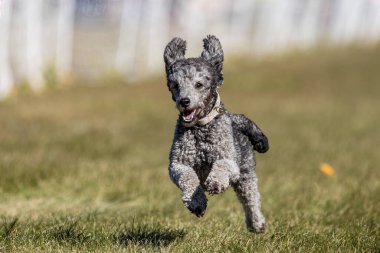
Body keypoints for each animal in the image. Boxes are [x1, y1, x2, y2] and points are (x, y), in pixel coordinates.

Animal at [165, 34, 268, 232]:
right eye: (175, 85)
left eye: (199, 84)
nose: (184, 101)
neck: (200, 128)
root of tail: (236, 119)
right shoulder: (178, 164)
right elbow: (188, 177)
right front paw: (196, 202)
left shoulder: (229, 160)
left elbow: (222, 166)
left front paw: (215, 182)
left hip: (246, 173)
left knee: (251, 198)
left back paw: (257, 223)